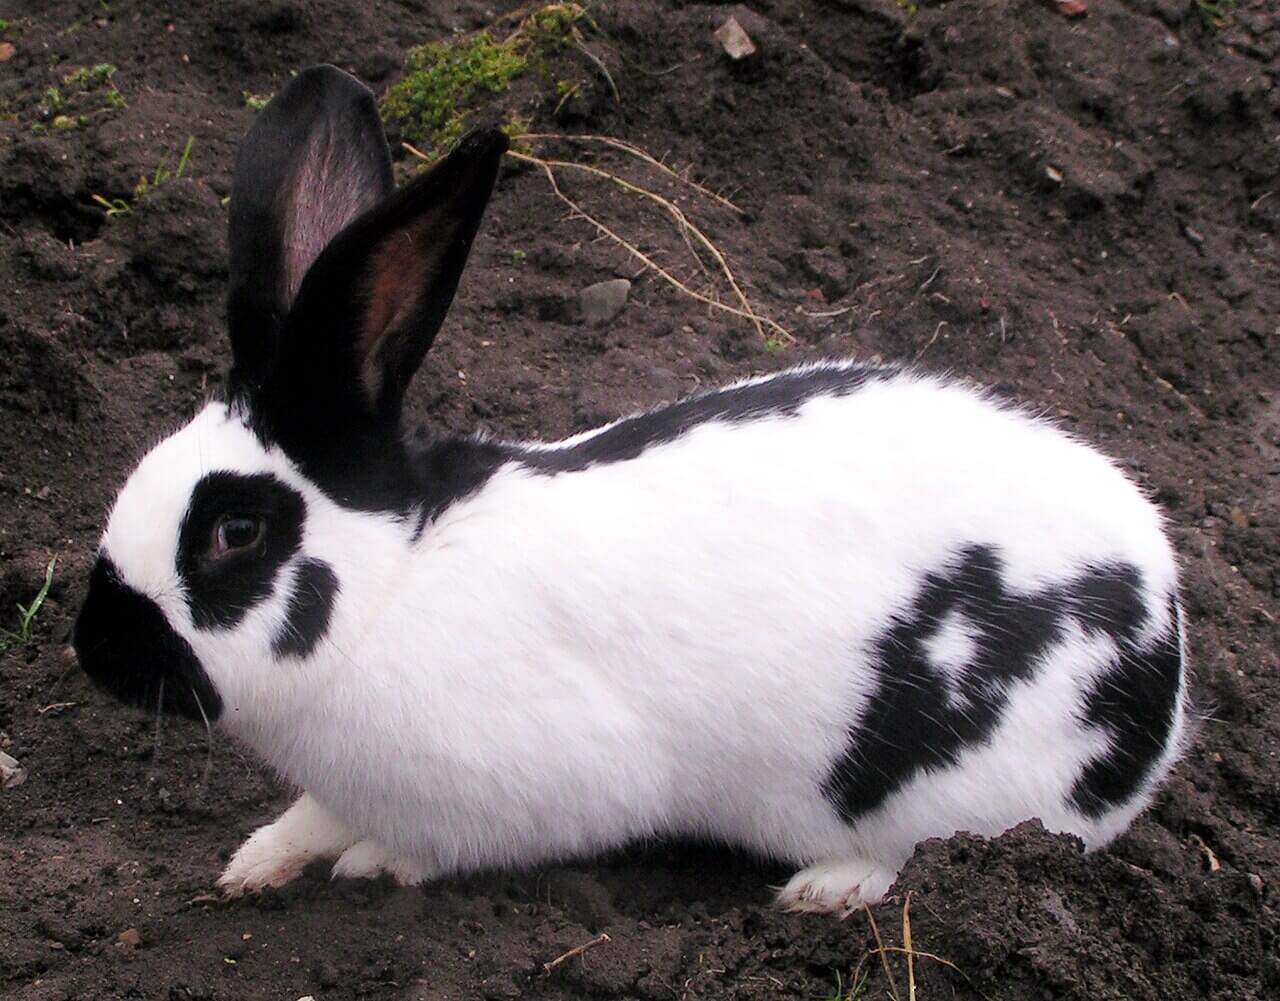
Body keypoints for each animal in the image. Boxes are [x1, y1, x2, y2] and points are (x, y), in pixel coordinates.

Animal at [72, 64, 1187, 916]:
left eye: (235, 532)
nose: (93, 650)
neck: (391, 584)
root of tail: (1167, 644)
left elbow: (430, 843)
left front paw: (372, 864)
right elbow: (310, 816)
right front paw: (254, 862)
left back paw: (825, 888)